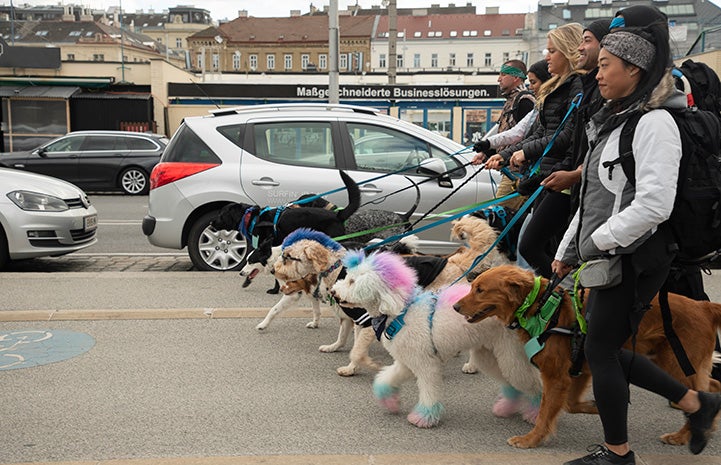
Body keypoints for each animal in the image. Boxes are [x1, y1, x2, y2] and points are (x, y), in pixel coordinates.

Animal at [328, 250, 540, 428]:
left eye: (352, 281)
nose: (333, 292)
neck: (400, 312)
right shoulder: (406, 362)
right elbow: (386, 379)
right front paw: (389, 401)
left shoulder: (426, 364)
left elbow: (429, 392)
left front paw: (424, 417)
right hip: (489, 355)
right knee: (512, 384)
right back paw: (506, 407)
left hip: (511, 354)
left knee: (532, 385)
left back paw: (535, 413)